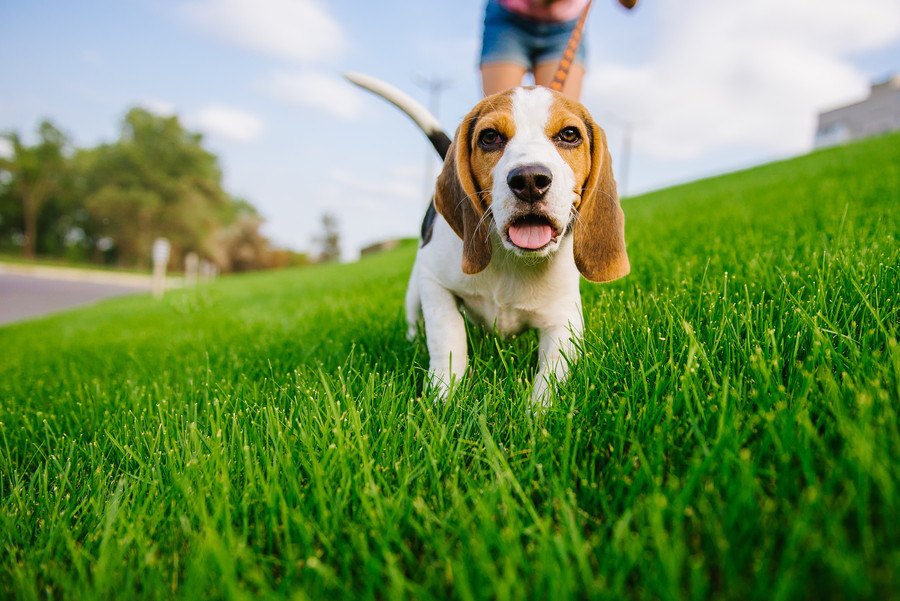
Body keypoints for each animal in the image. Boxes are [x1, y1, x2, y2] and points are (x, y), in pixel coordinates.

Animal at [342, 74, 628, 404]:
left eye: (569, 134)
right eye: (489, 137)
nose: (529, 180)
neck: (511, 260)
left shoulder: (564, 320)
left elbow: (552, 375)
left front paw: (538, 411)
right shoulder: (434, 283)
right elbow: (448, 334)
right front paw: (443, 395)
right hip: (414, 289)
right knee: (416, 319)